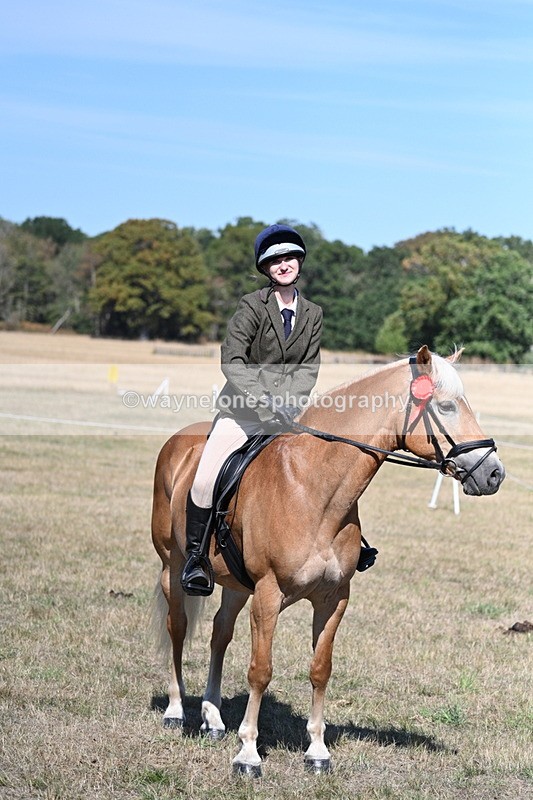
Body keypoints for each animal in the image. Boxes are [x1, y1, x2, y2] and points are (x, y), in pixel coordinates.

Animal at [150, 345, 505, 776]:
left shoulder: (333, 598)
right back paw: (175, 711)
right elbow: (260, 670)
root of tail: (178, 442)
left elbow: (321, 670)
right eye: (448, 406)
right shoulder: (268, 596)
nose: (494, 474)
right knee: (178, 627)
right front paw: (248, 754)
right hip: (173, 566)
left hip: (236, 585)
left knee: (220, 633)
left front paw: (317, 751)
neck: (312, 487)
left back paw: (212, 717)